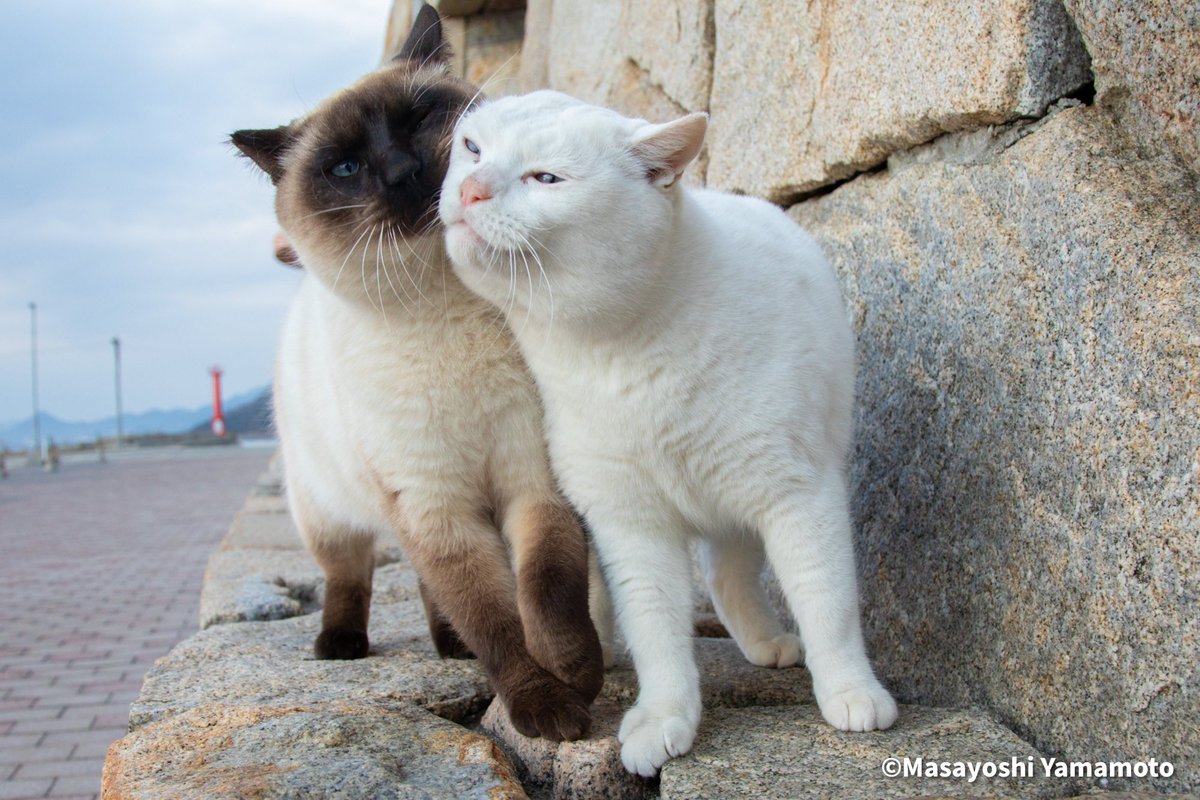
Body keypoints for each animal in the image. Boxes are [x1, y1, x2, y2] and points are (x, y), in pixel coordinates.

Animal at [230, 8, 609, 741]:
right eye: (346, 167)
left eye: (418, 119)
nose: (405, 172)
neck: (447, 306)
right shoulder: (433, 506)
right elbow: (496, 624)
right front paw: (546, 708)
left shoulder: (532, 482)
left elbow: (547, 589)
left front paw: (573, 670)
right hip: (327, 510)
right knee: (349, 576)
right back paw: (339, 645)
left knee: (437, 591)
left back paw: (448, 646)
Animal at [438, 90, 898, 774]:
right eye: (473, 148)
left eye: (545, 178)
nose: (471, 188)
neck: (618, 353)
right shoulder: (629, 524)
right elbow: (655, 626)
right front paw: (663, 717)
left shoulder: (798, 494)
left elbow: (827, 600)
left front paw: (850, 691)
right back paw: (605, 647)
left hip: (742, 497)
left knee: (730, 575)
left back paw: (767, 643)